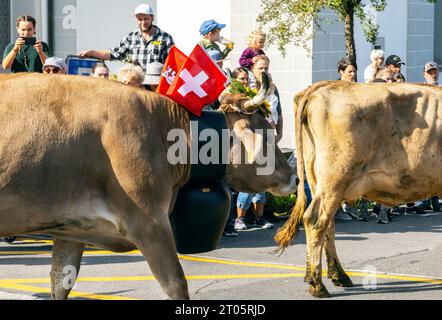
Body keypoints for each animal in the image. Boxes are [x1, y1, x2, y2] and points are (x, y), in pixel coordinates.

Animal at [0, 73, 296, 300]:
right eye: (267, 133)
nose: (294, 177)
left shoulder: (72, 228)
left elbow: (60, 281)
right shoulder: (149, 221)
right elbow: (176, 283)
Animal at [276, 80, 442, 298]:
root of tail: (325, 85)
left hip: (318, 179)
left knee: (328, 224)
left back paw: (337, 275)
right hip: (335, 177)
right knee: (316, 220)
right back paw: (317, 284)